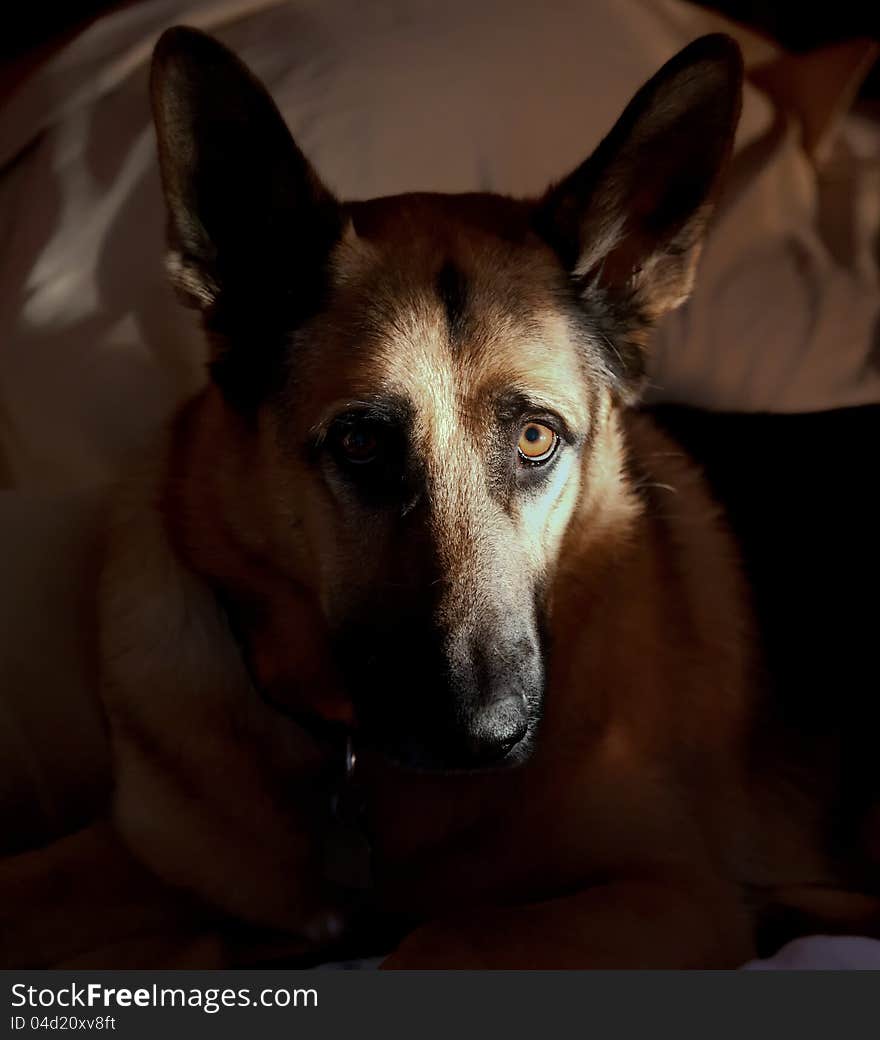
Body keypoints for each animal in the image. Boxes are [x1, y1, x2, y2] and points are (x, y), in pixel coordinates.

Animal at [8, 26, 880, 965]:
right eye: (359, 443)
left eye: (536, 437)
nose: (482, 737)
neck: (351, 761)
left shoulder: (677, 897)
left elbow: (439, 939)